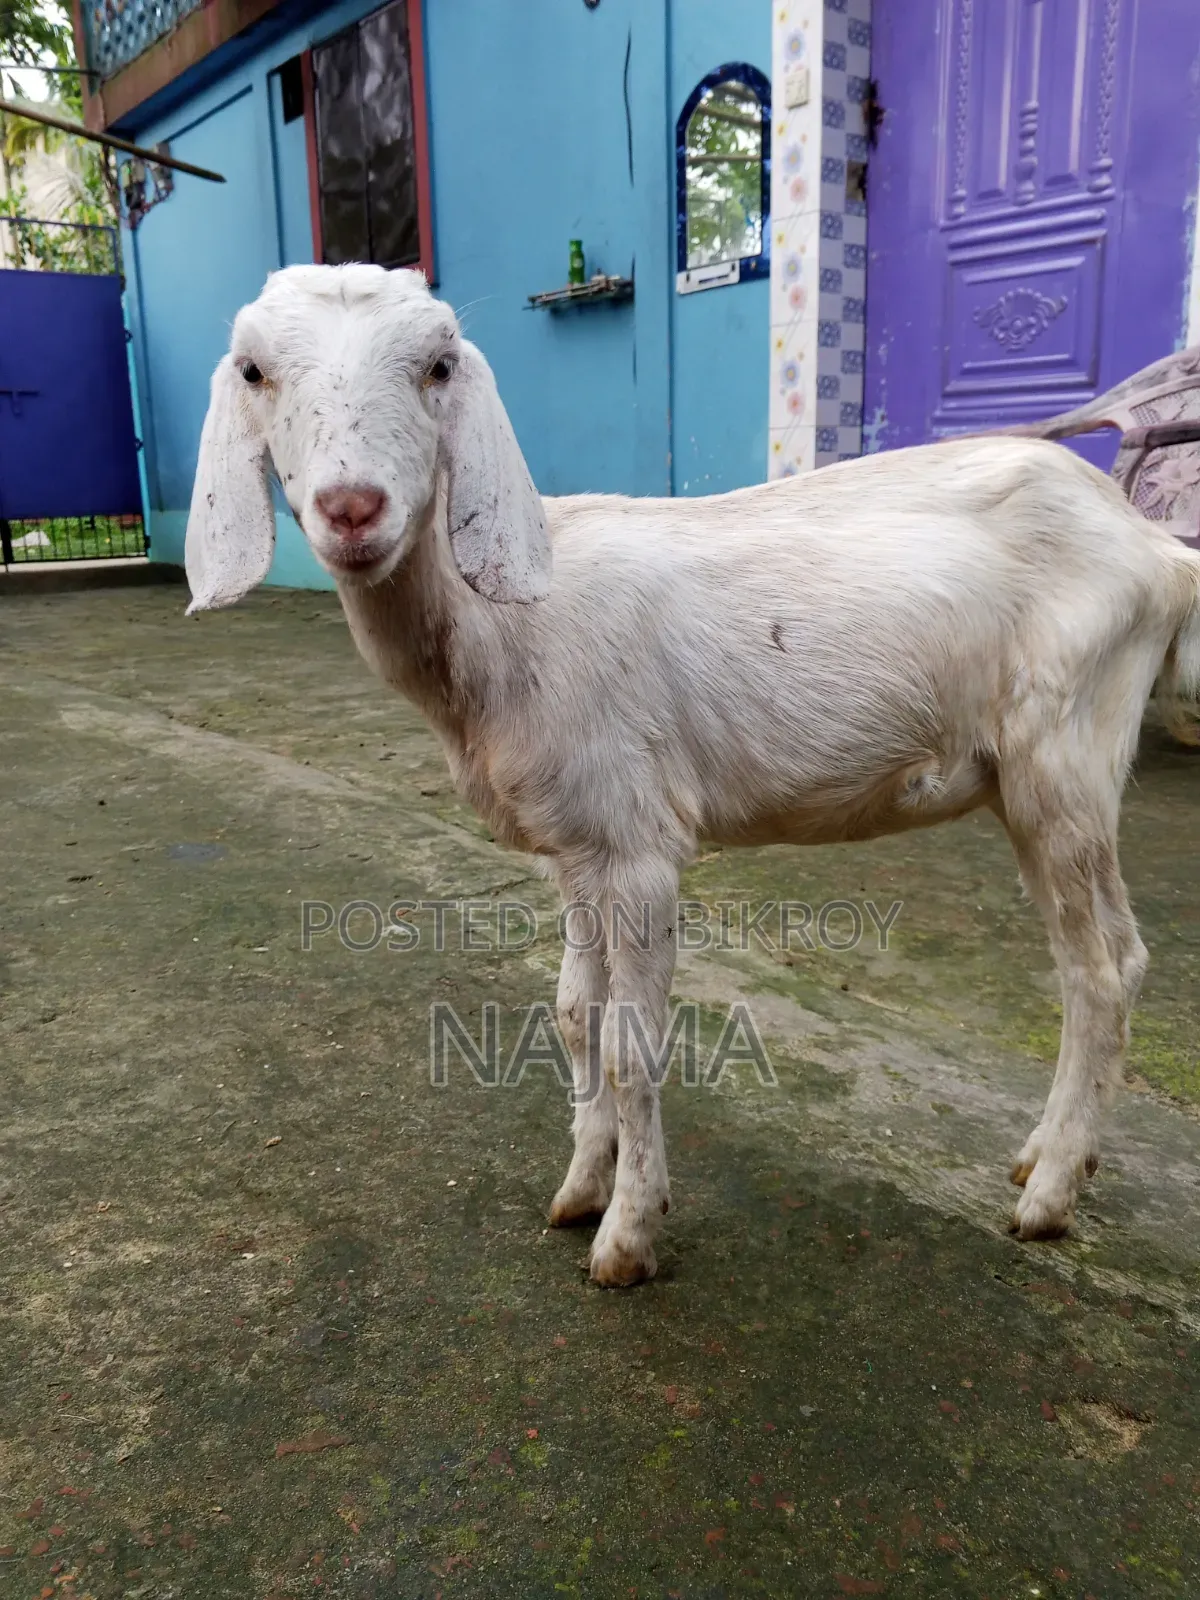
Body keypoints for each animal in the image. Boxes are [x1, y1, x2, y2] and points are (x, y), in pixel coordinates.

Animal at [185, 264, 1200, 1286]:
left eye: (438, 365)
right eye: (254, 370)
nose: (352, 509)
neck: (503, 628)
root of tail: (1158, 549)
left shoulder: (638, 844)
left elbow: (631, 1046)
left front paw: (628, 1237)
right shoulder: (577, 846)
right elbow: (574, 1017)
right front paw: (580, 1185)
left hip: (1064, 755)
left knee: (1102, 968)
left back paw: (1052, 1193)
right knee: (1095, 964)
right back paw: (1046, 1156)